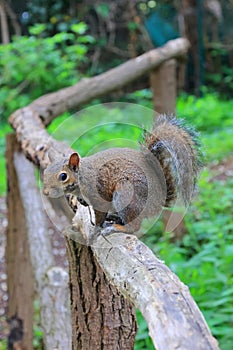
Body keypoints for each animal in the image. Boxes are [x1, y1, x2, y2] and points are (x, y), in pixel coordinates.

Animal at [43, 115, 202, 234]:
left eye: (63, 176)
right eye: (44, 172)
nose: (45, 192)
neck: (81, 177)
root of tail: (159, 201)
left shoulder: (97, 192)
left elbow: (99, 214)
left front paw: (96, 229)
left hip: (127, 195)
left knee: (134, 227)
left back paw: (118, 227)